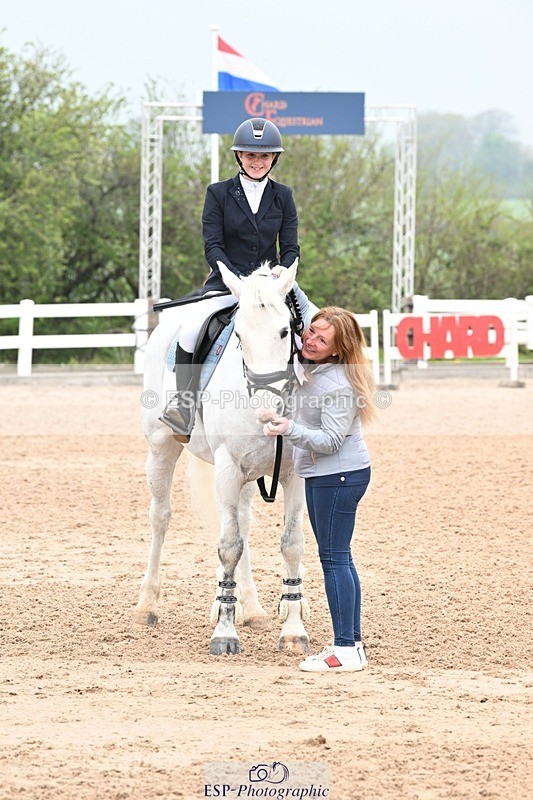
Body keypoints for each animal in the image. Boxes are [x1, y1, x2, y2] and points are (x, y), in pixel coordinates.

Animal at [134, 260, 310, 655]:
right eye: (239, 336)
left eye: (285, 332)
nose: (266, 412)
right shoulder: (228, 468)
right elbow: (229, 546)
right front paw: (225, 634)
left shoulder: (294, 475)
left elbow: (291, 544)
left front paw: (293, 630)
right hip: (161, 448)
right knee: (160, 518)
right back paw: (147, 605)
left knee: (242, 523)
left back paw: (254, 609)